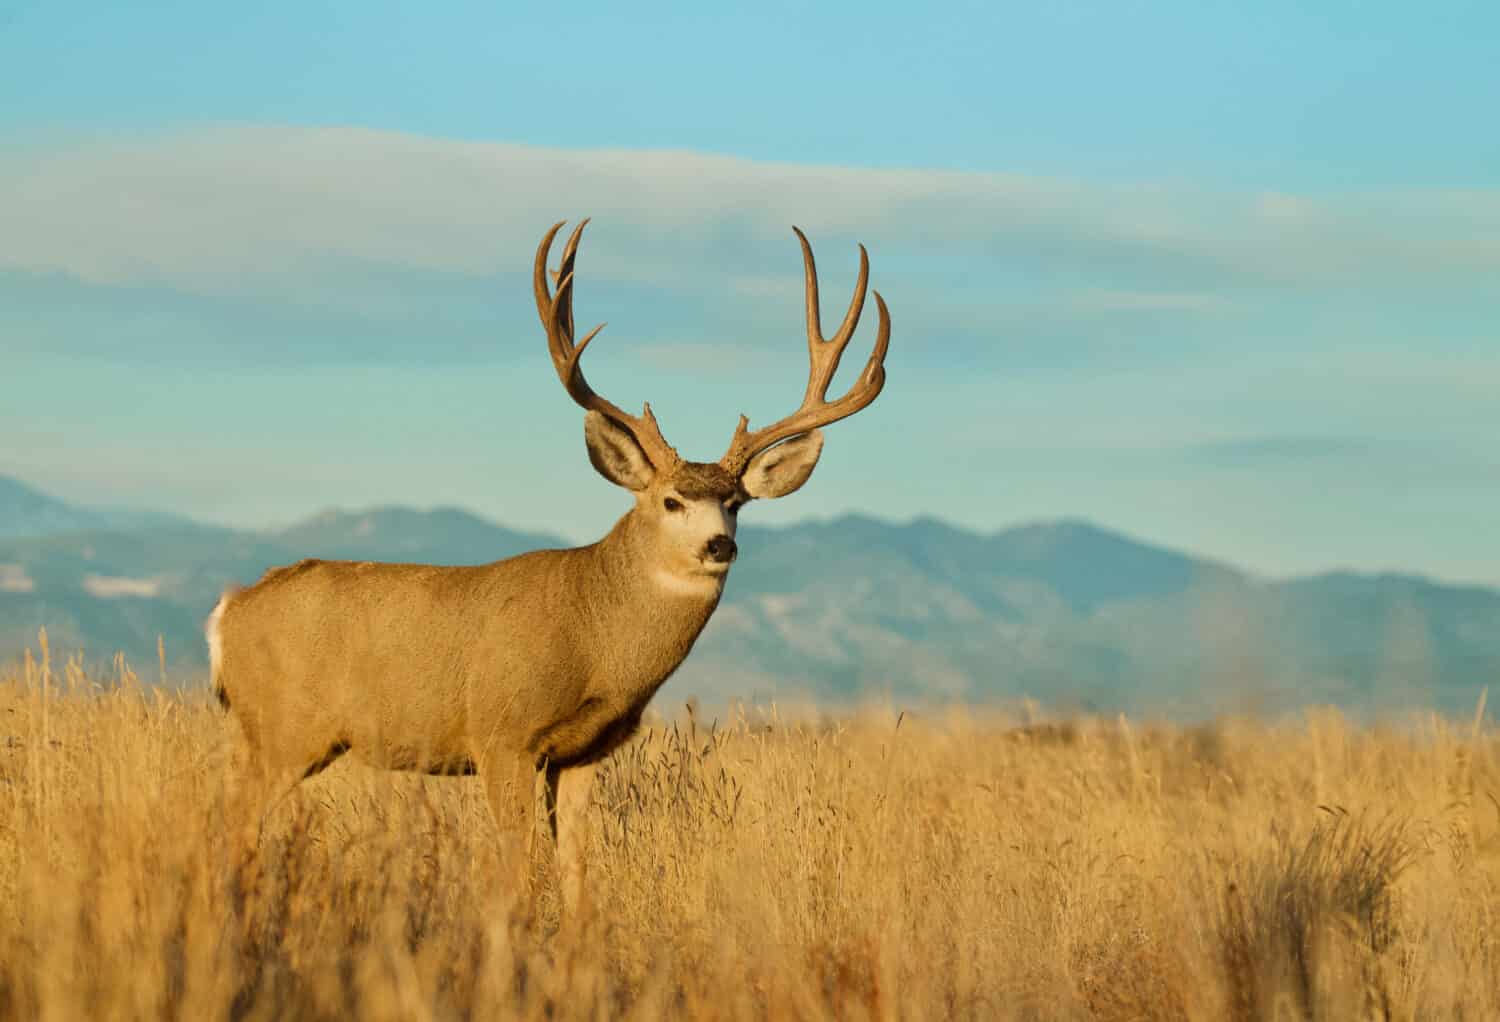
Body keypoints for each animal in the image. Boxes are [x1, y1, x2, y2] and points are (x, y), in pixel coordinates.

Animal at [208, 219, 890, 917]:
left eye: (735, 503)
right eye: (671, 501)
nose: (719, 547)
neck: (594, 633)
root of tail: (228, 613)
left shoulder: (583, 752)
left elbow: (577, 870)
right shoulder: (502, 733)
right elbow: (514, 870)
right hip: (286, 725)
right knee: (231, 819)